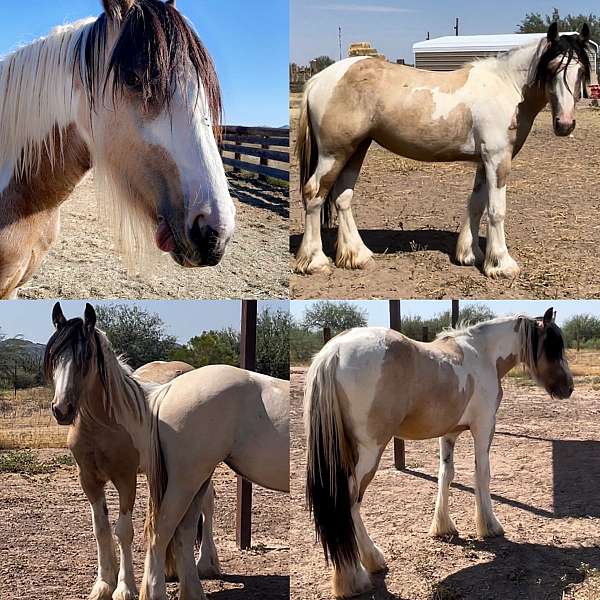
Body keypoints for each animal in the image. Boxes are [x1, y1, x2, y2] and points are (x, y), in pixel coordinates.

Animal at [45, 304, 290, 600]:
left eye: (86, 357)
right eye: (55, 356)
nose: (61, 409)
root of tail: (169, 389)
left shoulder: (124, 478)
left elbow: (119, 530)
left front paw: (119, 586)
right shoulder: (92, 479)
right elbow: (103, 529)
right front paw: (107, 585)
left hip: (195, 476)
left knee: (190, 521)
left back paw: (196, 575)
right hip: (188, 477)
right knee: (168, 529)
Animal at [296, 21, 592, 278]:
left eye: (580, 71)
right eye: (552, 68)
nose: (565, 124)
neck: (507, 85)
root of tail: (319, 80)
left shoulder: (483, 161)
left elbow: (476, 204)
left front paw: (470, 255)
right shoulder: (498, 159)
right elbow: (496, 210)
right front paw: (501, 264)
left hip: (356, 149)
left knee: (342, 197)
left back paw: (358, 256)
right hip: (334, 153)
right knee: (314, 193)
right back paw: (315, 261)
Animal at [308, 308, 576, 596]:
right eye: (552, 345)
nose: (568, 387)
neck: (482, 353)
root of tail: (333, 351)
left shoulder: (448, 434)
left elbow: (446, 475)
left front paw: (443, 527)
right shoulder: (484, 427)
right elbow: (482, 475)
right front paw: (490, 526)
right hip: (370, 452)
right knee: (349, 501)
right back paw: (359, 572)